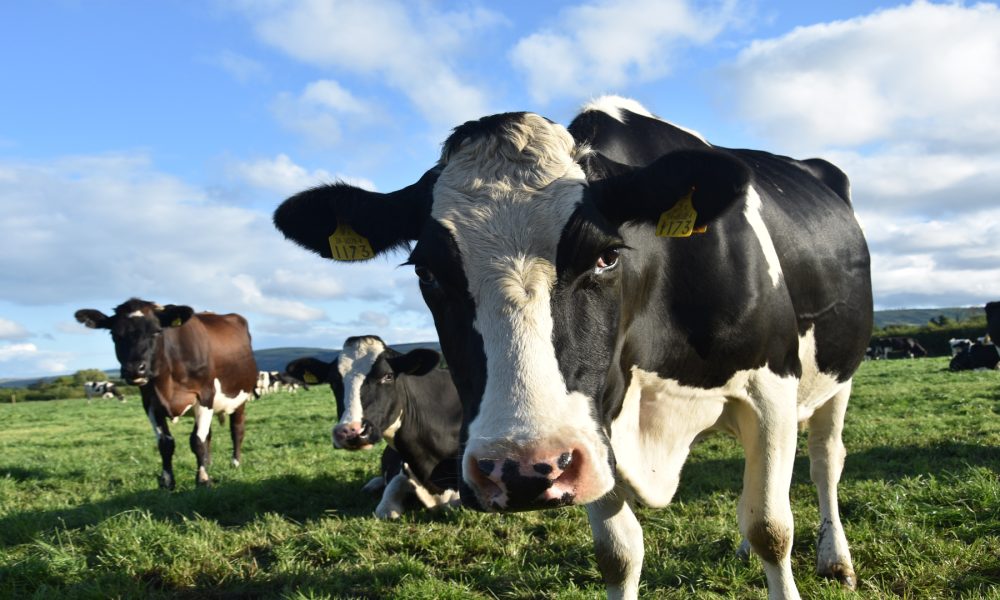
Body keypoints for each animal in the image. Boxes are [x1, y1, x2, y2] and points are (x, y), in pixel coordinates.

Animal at [75, 298, 257, 489]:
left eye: (156, 331)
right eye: (114, 334)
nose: (134, 369)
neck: (166, 382)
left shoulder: (205, 396)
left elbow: (197, 441)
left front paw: (203, 478)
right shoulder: (150, 403)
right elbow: (166, 443)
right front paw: (168, 481)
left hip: (240, 398)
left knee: (236, 430)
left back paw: (235, 462)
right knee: (208, 434)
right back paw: (208, 463)